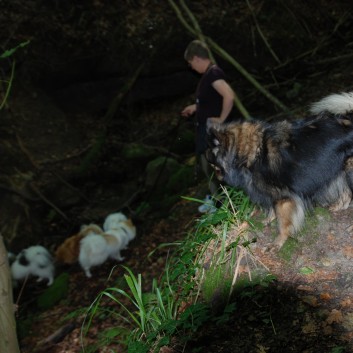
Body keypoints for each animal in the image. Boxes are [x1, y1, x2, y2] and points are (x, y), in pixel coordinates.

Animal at [206, 92, 353, 249]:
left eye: (212, 163)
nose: (216, 176)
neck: (253, 152)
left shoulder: (283, 198)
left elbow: (283, 221)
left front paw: (278, 241)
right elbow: (272, 209)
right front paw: (268, 220)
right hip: (341, 168)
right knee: (346, 192)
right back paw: (339, 206)